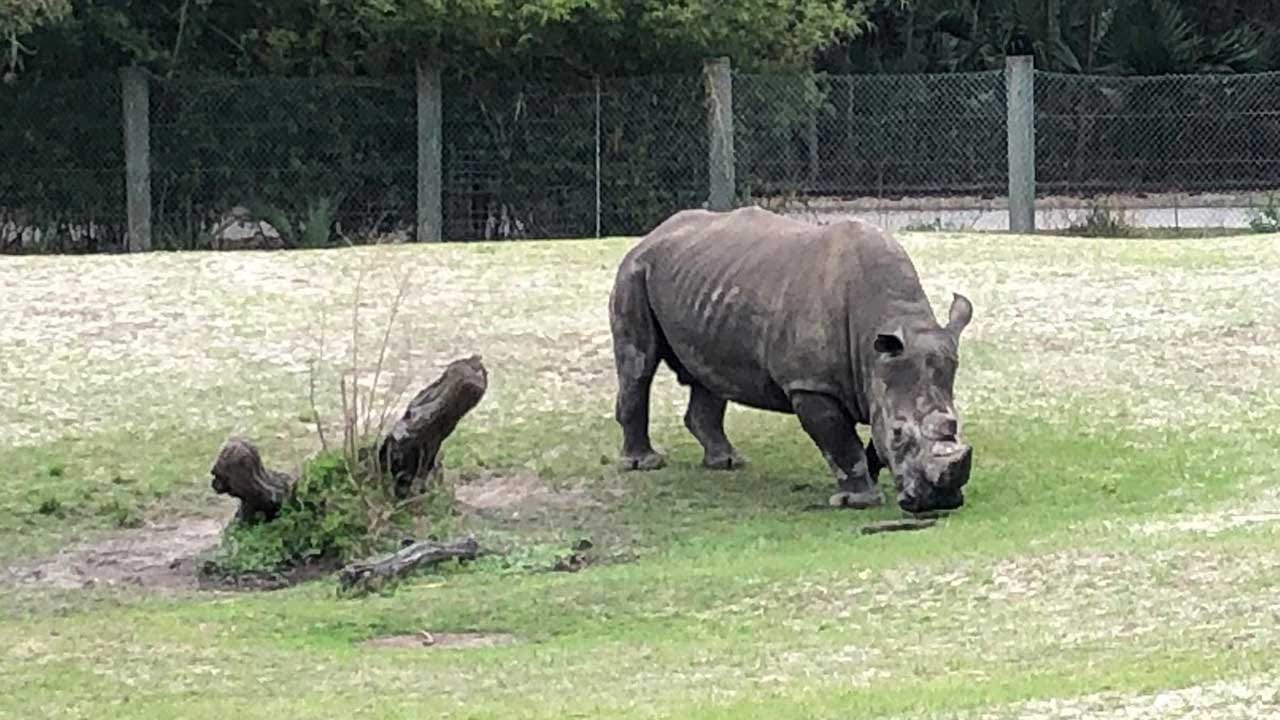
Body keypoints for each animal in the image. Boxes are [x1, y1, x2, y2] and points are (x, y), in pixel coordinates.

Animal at [607, 206, 974, 513]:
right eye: (899, 433)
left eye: (956, 425)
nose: (937, 502)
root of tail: (651, 235)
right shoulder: (810, 384)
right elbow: (841, 439)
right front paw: (859, 500)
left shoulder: (881, 379)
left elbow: (869, 435)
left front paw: (868, 477)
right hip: (634, 272)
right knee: (639, 365)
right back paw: (643, 464)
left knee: (707, 372)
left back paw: (727, 462)